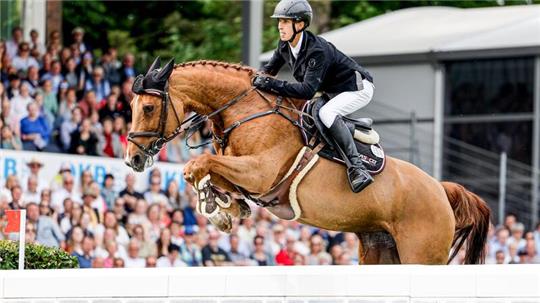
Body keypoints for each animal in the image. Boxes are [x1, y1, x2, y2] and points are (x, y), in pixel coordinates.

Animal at [125, 58, 490, 264]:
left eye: (148, 108)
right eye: (130, 107)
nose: (133, 160)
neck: (245, 110)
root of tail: (441, 190)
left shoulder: (261, 172)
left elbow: (197, 165)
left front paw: (217, 210)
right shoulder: (246, 174)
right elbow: (209, 170)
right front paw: (229, 208)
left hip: (421, 253)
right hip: (380, 249)